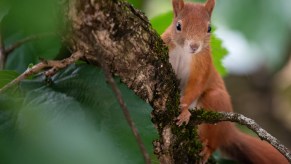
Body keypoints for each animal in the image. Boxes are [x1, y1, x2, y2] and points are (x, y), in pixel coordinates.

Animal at [162, 0, 290, 162]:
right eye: (178, 26)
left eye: (209, 28)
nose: (194, 46)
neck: (183, 52)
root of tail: (229, 131)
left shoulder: (204, 64)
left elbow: (197, 85)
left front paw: (184, 110)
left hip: (216, 104)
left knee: (214, 141)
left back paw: (207, 149)